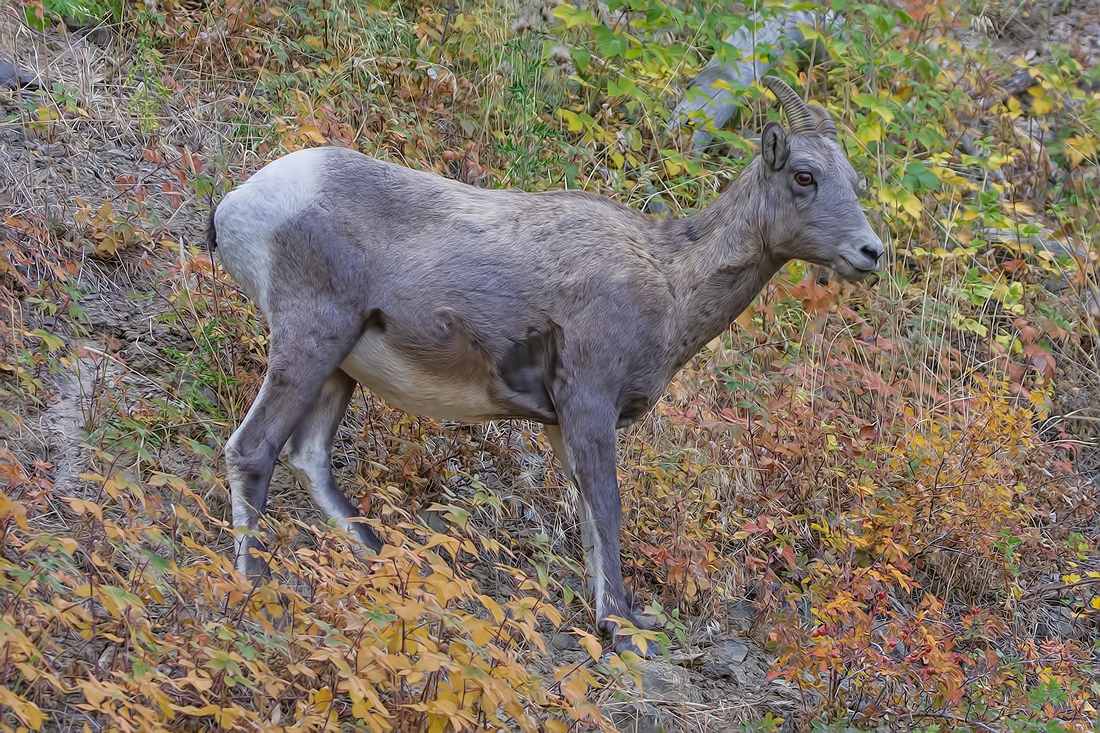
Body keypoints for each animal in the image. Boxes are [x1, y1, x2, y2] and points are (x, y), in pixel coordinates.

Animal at [206, 78, 884, 651]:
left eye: (853, 180)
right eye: (804, 176)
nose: (871, 253)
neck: (671, 281)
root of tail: (238, 203)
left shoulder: (563, 424)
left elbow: (586, 516)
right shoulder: (589, 404)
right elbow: (607, 508)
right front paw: (621, 629)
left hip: (340, 369)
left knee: (309, 457)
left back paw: (382, 556)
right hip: (312, 340)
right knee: (253, 449)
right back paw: (256, 584)